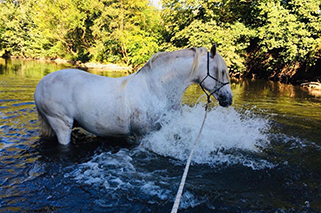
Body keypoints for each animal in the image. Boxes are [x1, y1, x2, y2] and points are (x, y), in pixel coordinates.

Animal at [34, 44, 230, 145]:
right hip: (60, 123)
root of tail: (40, 85)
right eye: (221, 71)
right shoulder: (142, 136)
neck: (157, 90)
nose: (228, 99)